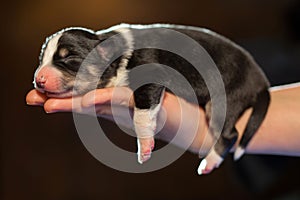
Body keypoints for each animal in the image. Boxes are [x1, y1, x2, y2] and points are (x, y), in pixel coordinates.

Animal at [32, 23, 270, 174]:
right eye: (42, 58)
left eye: (68, 57)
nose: (38, 79)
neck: (118, 55)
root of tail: (261, 82)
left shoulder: (152, 75)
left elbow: (142, 113)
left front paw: (144, 147)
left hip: (224, 99)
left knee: (230, 135)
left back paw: (209, 162)